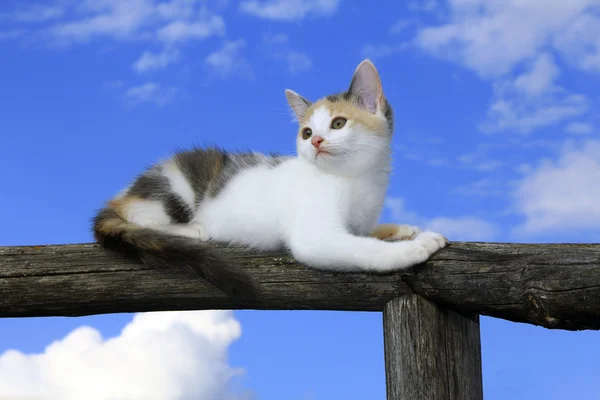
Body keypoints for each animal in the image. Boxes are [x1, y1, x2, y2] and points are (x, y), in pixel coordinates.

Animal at [91, 60, 448, 300]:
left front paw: (400, 229)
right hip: (178, 183)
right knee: (140, 217)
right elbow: (363, 249)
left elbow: (363, 233)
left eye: (338, 123)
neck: (355, 178)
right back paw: (194, 228)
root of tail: (123, 193)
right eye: (307, 132)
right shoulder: (315, 236)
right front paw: (419, 245)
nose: (316, 142)